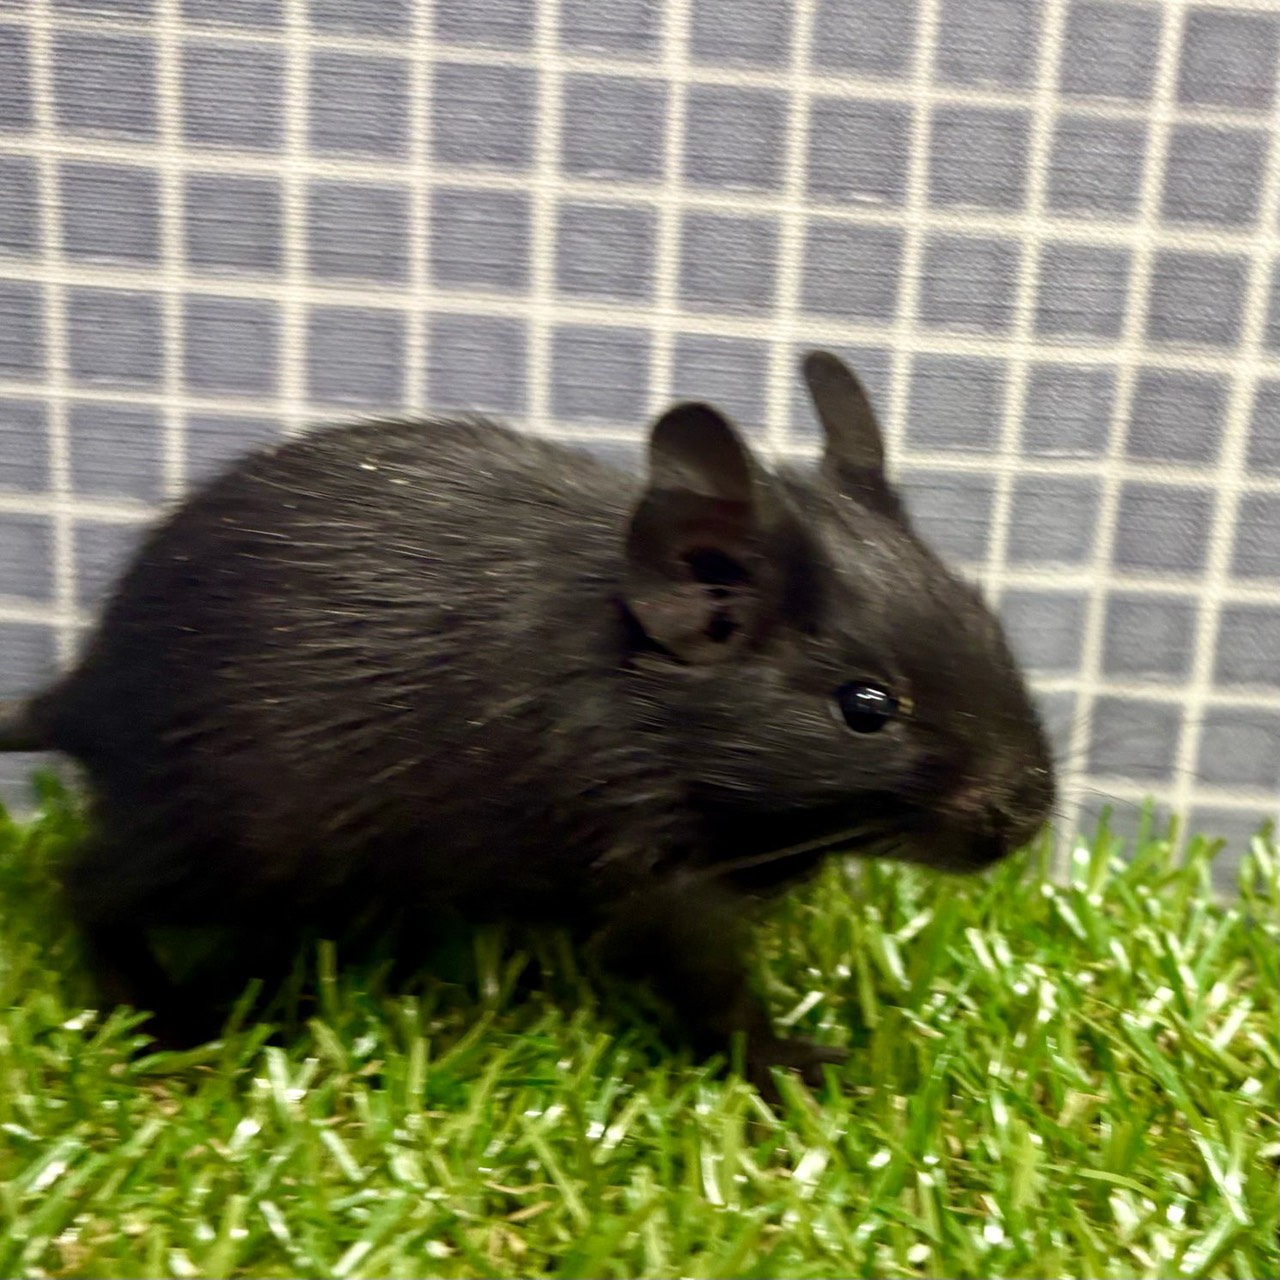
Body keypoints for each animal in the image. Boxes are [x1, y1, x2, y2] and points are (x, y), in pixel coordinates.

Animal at [0, 351, 1054, 1094]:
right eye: (866, 707)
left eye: (991, 624)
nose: (1028, 819)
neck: (656, 700)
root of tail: (80, 694)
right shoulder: (652, 873)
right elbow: (710, 992)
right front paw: (789, 1069)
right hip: (225, 842)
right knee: (85, 885)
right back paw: (165, 1017)